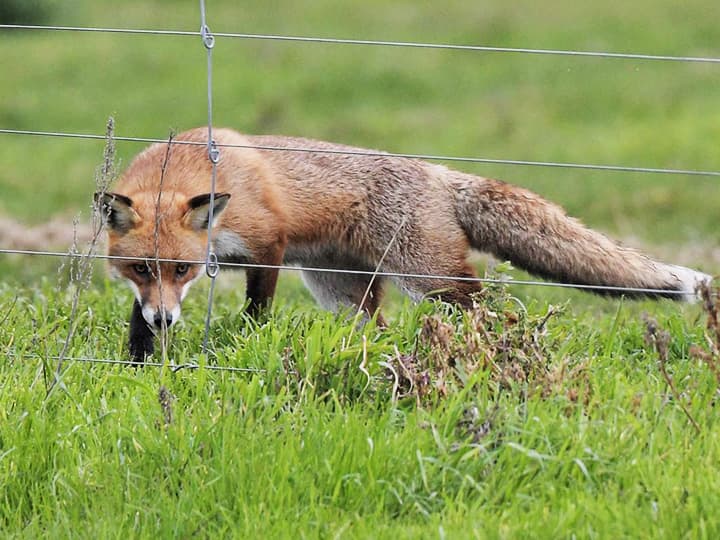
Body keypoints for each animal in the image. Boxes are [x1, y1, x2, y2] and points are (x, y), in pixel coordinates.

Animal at [97, 127, 716, 362]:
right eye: (140, 269)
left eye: (183, 269)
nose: (166, 321)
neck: (188, 164)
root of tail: (440, 174)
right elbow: (135, 323)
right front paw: (139, 359)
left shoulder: (267, 242)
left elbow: (256, 309)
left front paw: (247, 341)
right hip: (343, 292)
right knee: (379, 329)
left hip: (430, 278)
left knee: (486, 310)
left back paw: (497, 355)